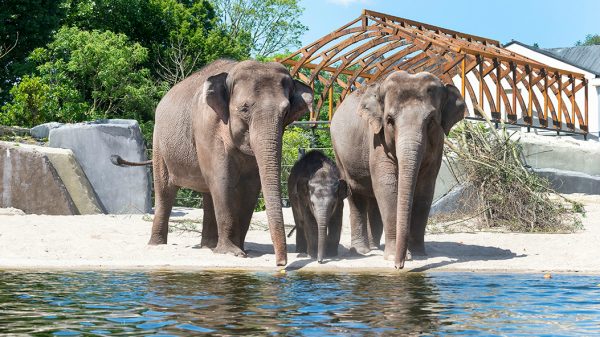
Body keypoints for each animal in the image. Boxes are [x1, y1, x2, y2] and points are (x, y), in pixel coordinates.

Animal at [118, 59, 314, 266]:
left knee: (208, 193)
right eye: (244, 108)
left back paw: (209, 247)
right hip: (159, 144)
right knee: (165, 191)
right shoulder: (207, 127)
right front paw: (232, 252)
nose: (281, 264)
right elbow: (222, 180)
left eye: (286, 111)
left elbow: (251, 186)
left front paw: (241, 250)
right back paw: (158, 245)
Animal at [330, 71, 466, 268]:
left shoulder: (438, 145)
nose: (398, 266)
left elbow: (425, 190)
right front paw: (395, 256)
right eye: (389, 120)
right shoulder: (376, 140)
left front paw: (419, 255)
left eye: (431, 120)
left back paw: (375, 247)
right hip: (339, 152)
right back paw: (362, 250)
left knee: (373, 198)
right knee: (356, 194)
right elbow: (387, 186)